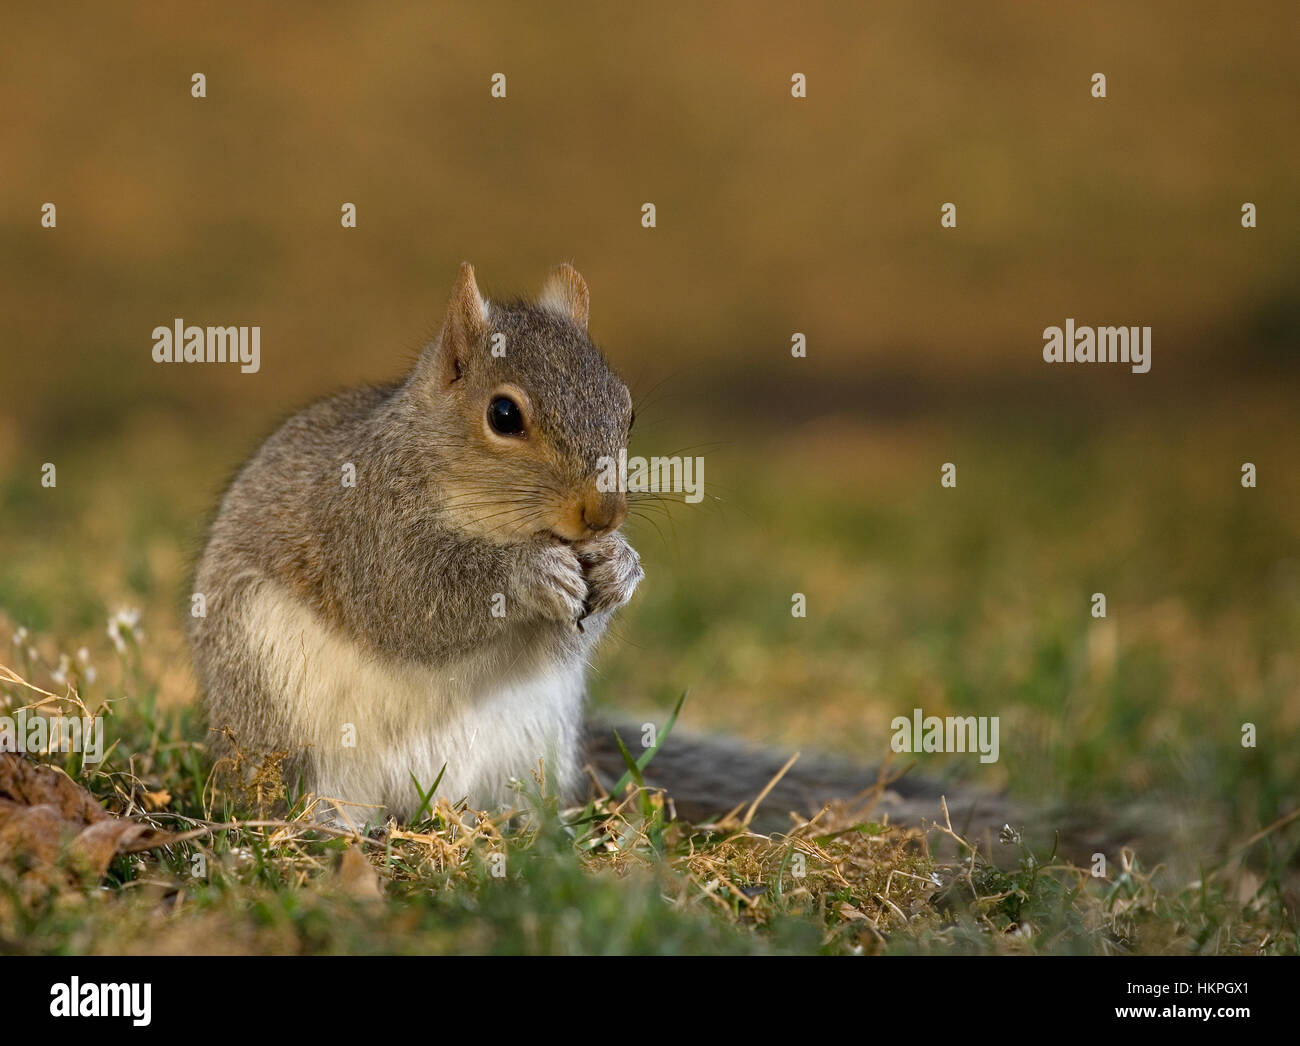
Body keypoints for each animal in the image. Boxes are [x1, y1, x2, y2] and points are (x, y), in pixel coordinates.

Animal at [190, 263, 644, 826]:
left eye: (628, 410)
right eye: (504, 415)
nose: (604, 515)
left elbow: (567, 639)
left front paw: (619, 565)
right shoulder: (364, 529)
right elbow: (412, 605)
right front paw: (531, 572)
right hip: (276, 711)